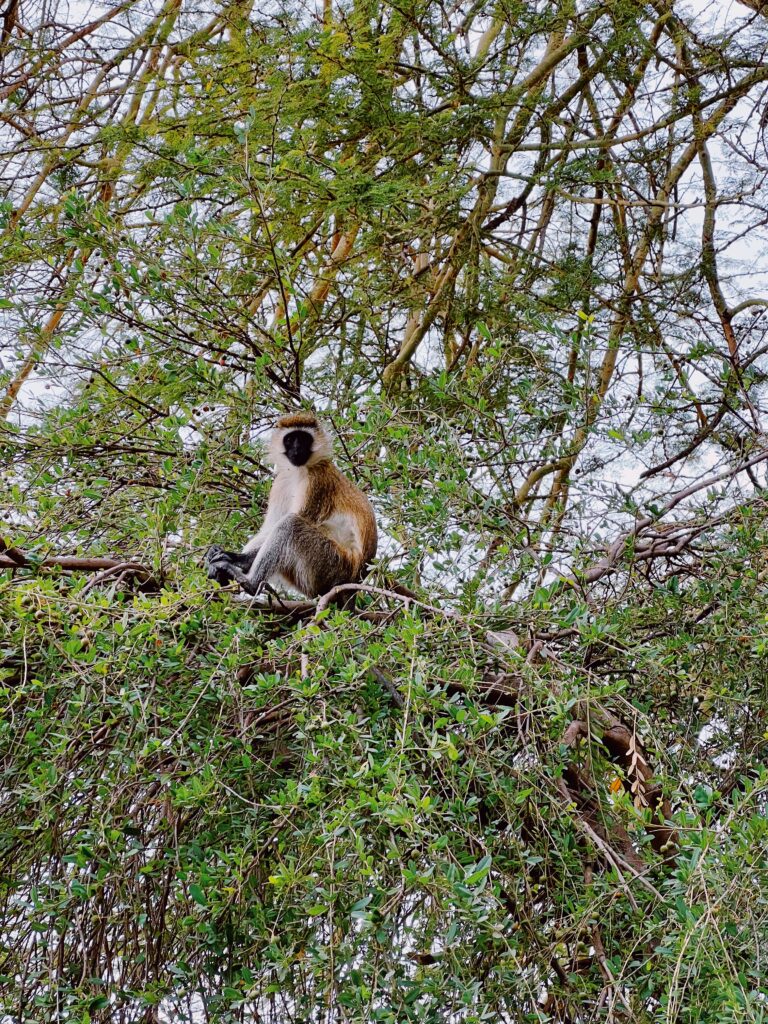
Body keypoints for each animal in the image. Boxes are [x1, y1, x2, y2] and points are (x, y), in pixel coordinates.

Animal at [204, 411, 378, 598]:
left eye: (303, 439)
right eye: (290, 439)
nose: (297, 449)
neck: (298, 471)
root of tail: (356, 577)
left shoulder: (317, 481)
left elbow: (292, 520)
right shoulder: (281, 481)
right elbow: (269, 527)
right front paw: (232, 556)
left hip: (332, 564)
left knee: (290, 524)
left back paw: (251, 584)